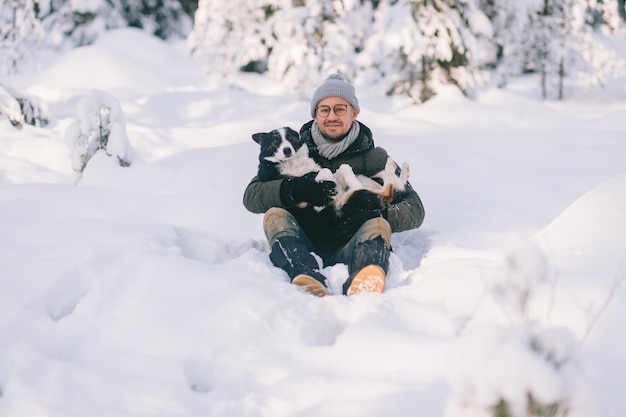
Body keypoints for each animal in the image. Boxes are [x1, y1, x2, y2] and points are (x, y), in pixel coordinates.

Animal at [251, 127, 408, 211]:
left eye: (291, 138)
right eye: (275, 142)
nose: (287, 150)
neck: (293, 162)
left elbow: (340, 169)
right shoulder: (312, 202)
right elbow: (322, 175)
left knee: (393, 188)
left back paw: (398, 169)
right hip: (349, 198)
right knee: (387, 191)